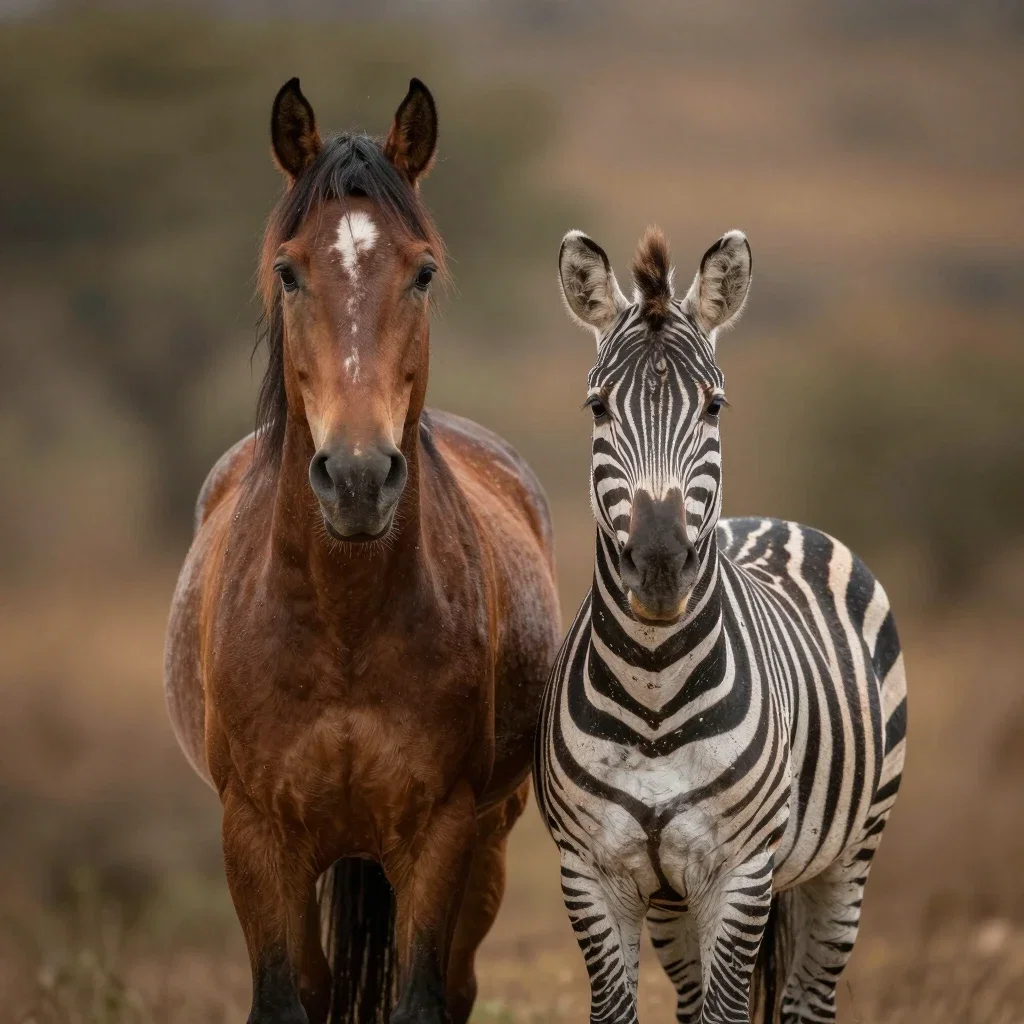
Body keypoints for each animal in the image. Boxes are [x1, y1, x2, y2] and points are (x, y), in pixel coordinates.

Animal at [164, 77, 560, 1024]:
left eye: (421, 270)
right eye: (288, 270)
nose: (356, 476)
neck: (342, 623)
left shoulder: (441, 830)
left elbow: (418, 997)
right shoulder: (255, 835)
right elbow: (286, 999)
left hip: (488, 841)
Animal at [535, 225, 906, 1024]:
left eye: (713, 407)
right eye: (597, 408)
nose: (658, 563)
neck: (652, 693)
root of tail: (772, 521)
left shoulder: (739, 874)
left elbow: (730, 1011)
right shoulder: (590, 873)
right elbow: (618, 1010)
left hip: (847, 862)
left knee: (806, 999)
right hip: (676, 906)